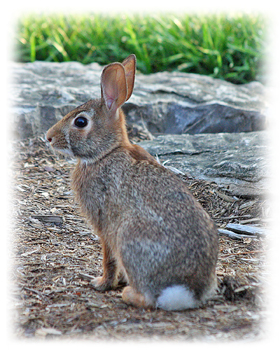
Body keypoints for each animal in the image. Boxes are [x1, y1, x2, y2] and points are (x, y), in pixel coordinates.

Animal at [46, 54, 219, 312]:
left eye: (80, 122)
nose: (48, 137)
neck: (106, 153)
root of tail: (187, 291)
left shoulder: (105, 225)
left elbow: (108, 258)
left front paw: (101, 283)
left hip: (128, 238)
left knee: (148, 298)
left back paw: (128, 293)